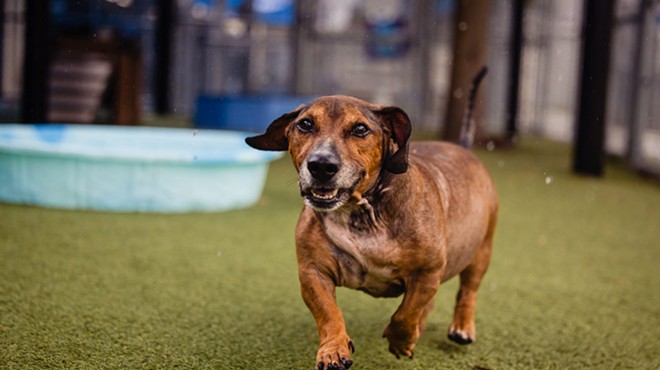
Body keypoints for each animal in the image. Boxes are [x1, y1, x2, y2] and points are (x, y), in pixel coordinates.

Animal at [246, 68, 496, 368]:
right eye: (305, 124)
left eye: (360, 129)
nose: (321, 165)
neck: (361, 211)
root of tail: (465, 149)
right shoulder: (313, 273)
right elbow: (329, 313)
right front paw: (333, 348)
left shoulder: (427, 272)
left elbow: (406, 313)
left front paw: (401, 340)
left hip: (481, 252)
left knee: (467, 291)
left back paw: (461, 327)